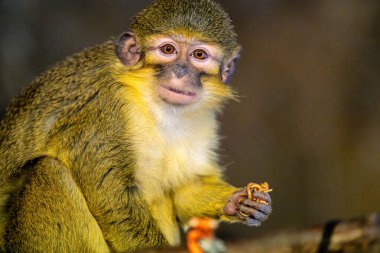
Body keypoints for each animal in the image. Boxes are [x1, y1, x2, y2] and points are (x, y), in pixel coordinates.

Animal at [0, 0, 274, 252]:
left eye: (199, 55)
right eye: (168, 49)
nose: (180, 72)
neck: (152, 102)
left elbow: (185, 190)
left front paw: (239, 202)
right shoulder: (104, 106)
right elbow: (114, 198)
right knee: (48, 170)